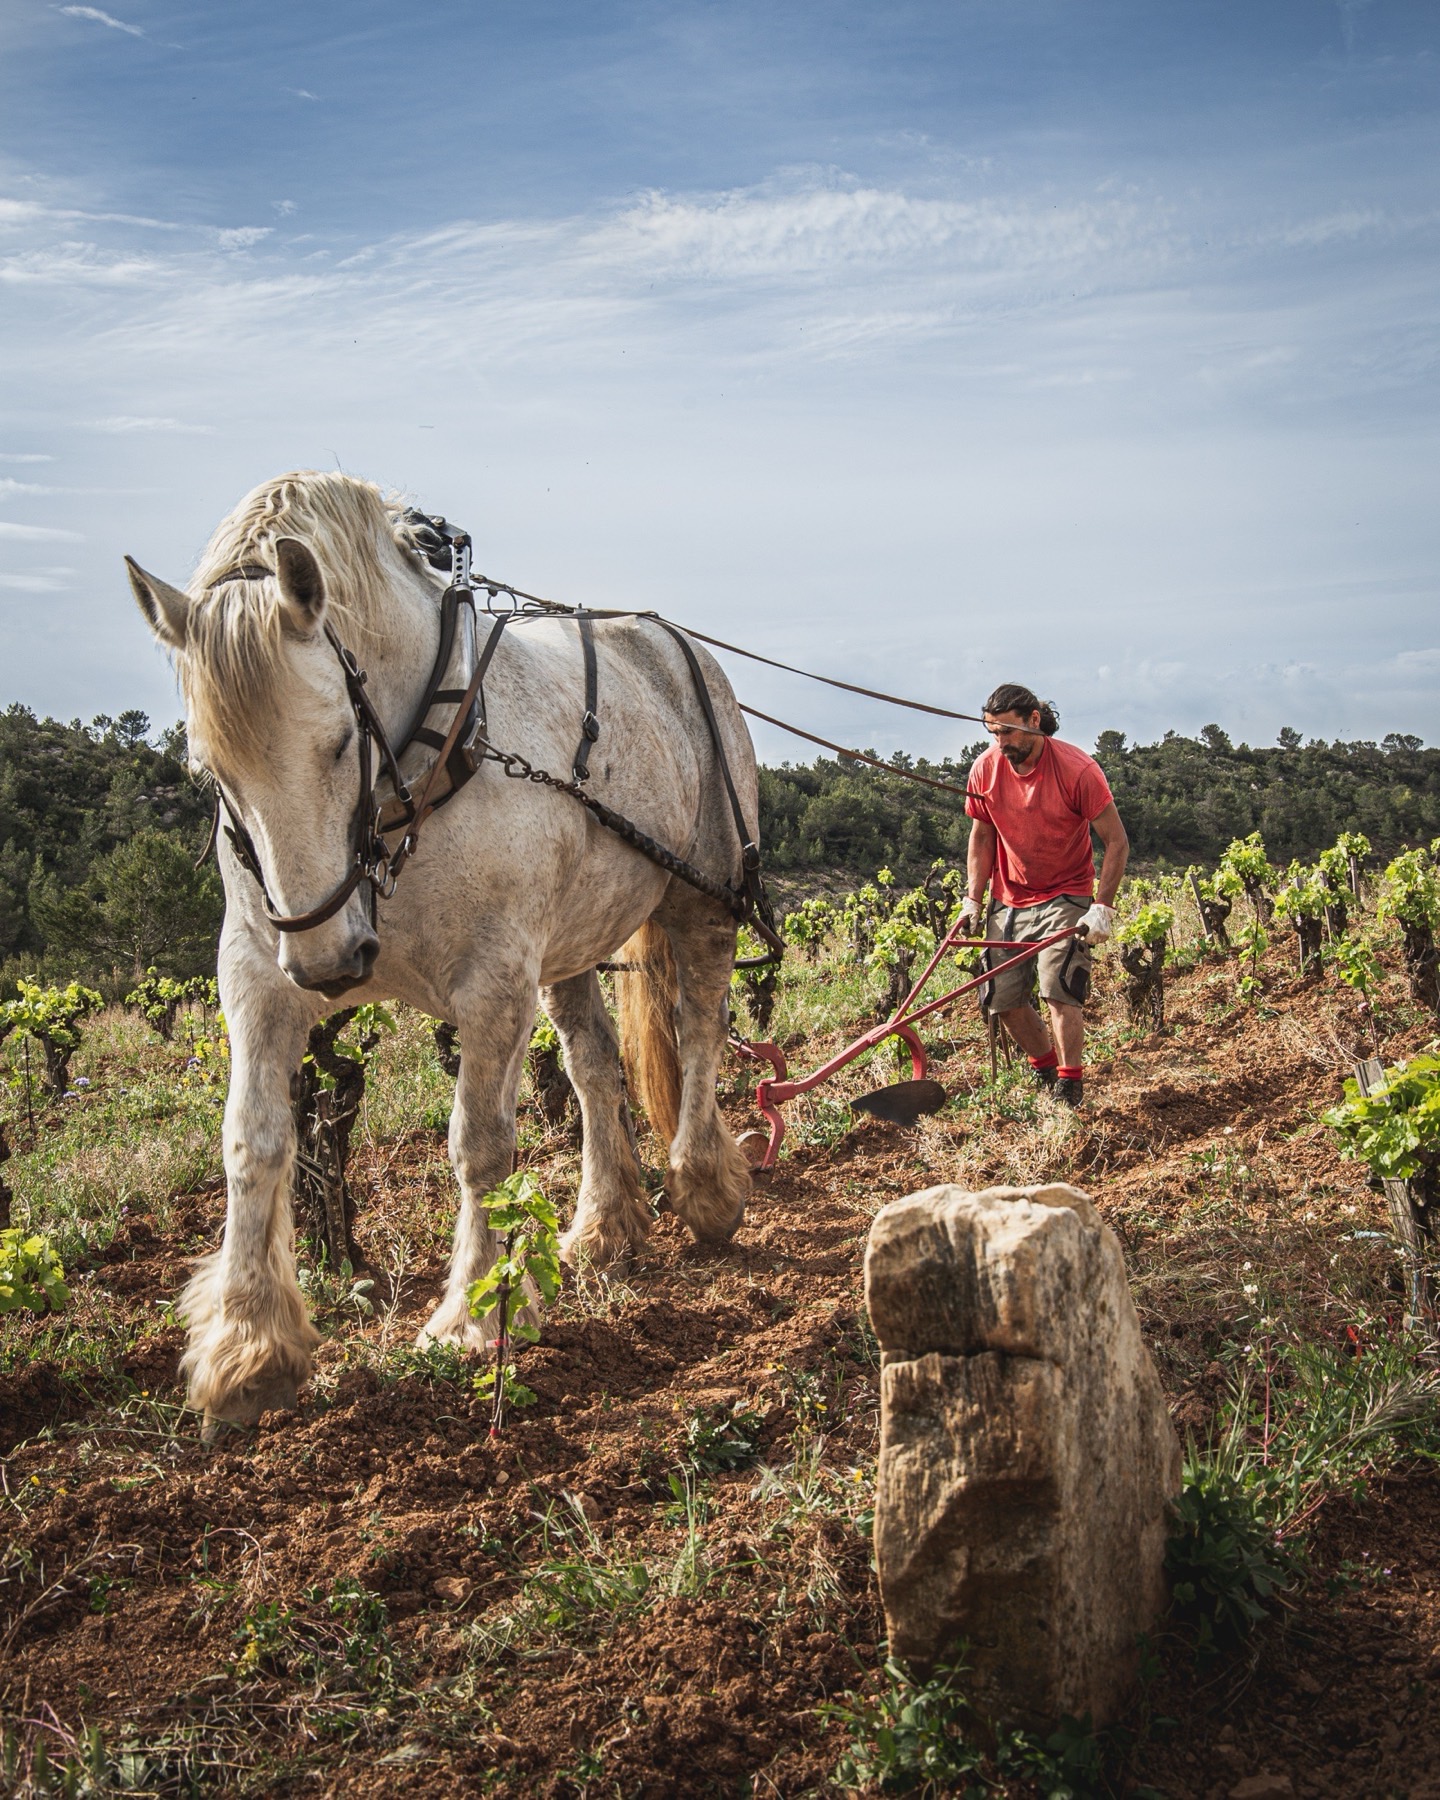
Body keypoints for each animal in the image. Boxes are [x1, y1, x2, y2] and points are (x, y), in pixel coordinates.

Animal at [126, 470, 761, 1435]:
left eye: (337, 742)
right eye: (209, 768)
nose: (330, 963)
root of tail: (677, 643)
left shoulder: (493, 981)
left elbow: (480, 1146)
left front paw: (473, 1314)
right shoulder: (258, 976)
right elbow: (255, 1139)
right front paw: (247, 1345)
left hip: (704, 897)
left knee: (697, 1033)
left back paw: (703, 1186)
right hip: (568, 943)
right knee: (595, 1066)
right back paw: (604, 1226)